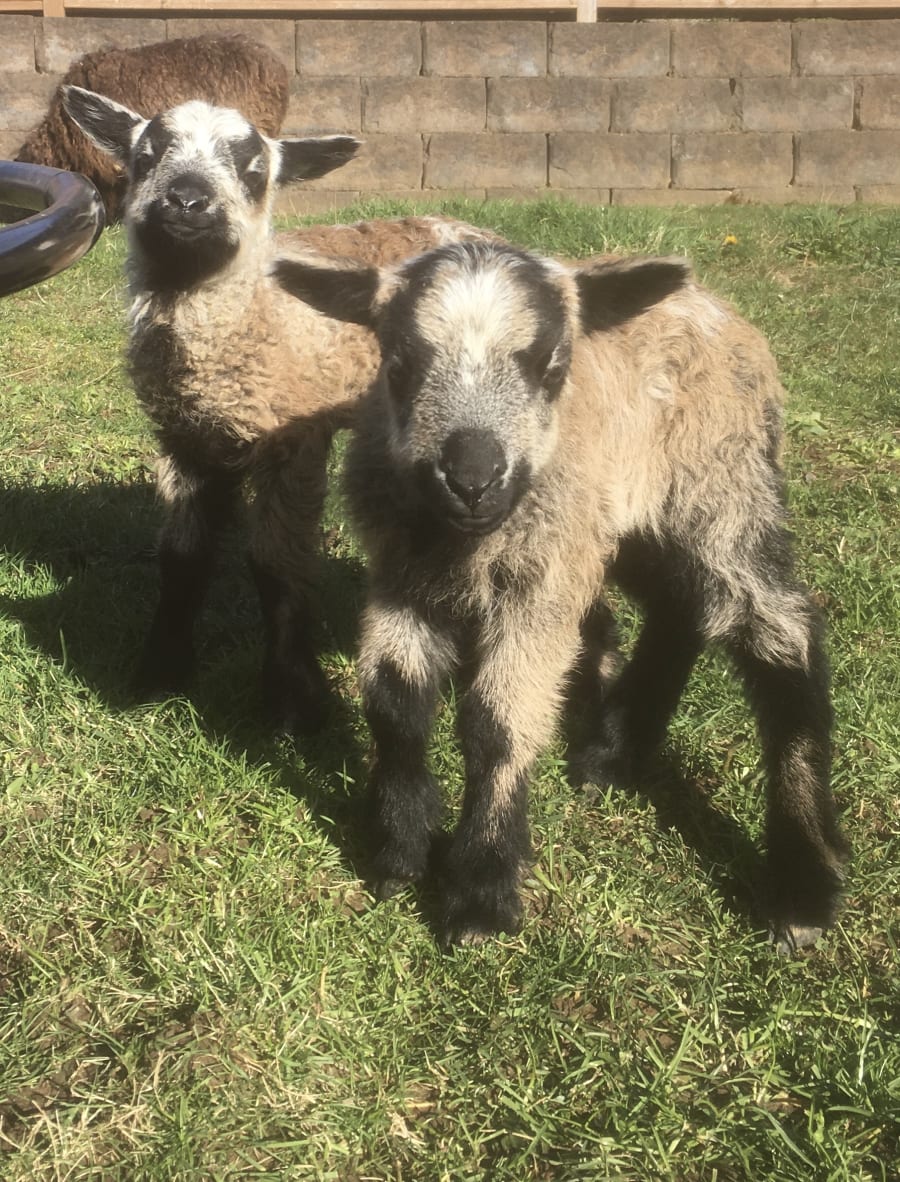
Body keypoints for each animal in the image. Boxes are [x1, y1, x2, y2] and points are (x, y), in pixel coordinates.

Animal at [60, 85, 493, 733]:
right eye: (147, 154)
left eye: (254, 169)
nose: (187, 201)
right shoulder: (185, 437)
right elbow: (182, 556)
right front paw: (160, 673)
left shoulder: (292, 441)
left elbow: (274, 563)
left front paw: (294, 701)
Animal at [273, 238, 849, 953]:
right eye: (400, 362)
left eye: (551, 363)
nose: (472, 479)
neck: (462, 542)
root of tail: (717, 306)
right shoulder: (401, 574)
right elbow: (395, 699)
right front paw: (398, 851)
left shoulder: (541, 583)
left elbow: (498, 723)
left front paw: (481, 894)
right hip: (632, 522)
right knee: (680, 606)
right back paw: (611, 755)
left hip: (722, 481)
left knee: (780, 630)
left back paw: (803, 886)